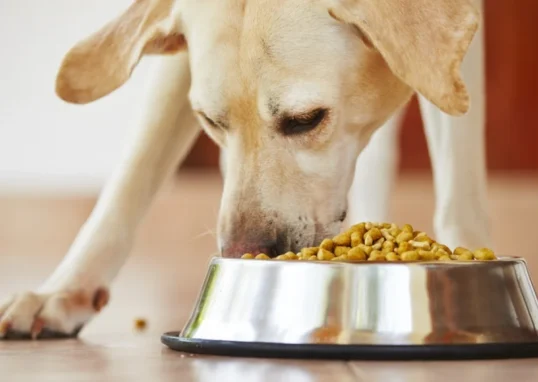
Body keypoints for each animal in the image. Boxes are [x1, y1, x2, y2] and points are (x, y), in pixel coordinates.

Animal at [0, 0, 488, 340]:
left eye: (306, 119)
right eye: (211, 122)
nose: (240, 252)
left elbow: (459, 180)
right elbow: (134, 172)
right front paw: (65, 290)